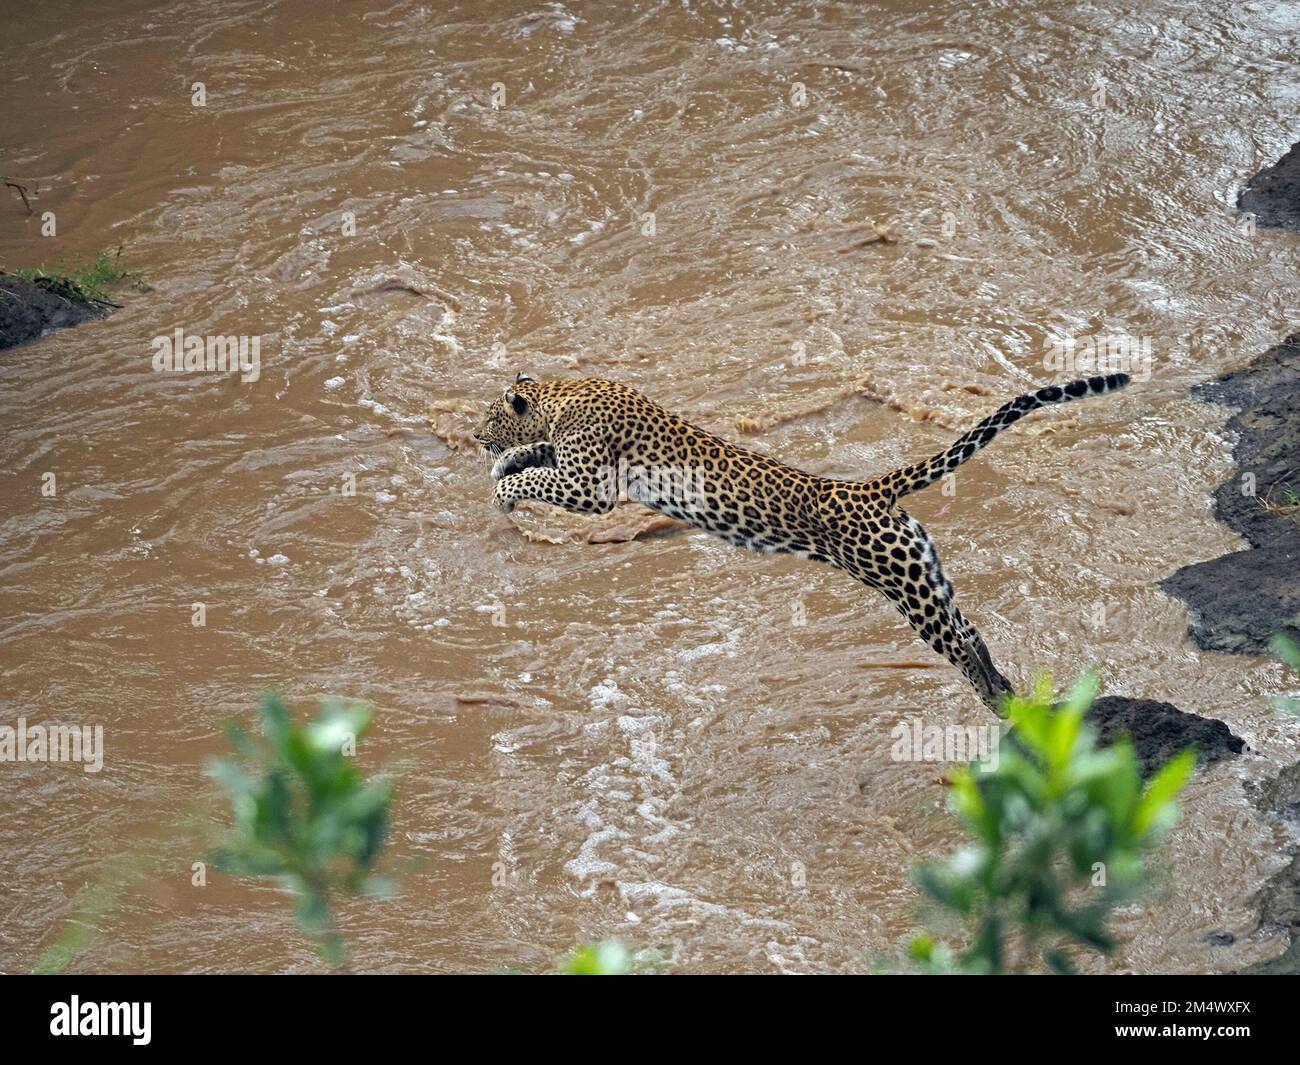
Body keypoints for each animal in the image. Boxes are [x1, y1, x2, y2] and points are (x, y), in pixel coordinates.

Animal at [475, 371, 1128, 712]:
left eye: (487, 415)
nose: (476, 437)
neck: (561, 394)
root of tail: (866, 488)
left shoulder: (590, 485)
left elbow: (537, 477)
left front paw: (503, 484)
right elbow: (534, 458)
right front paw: (507, 462)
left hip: (903, 586)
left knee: (959, 644)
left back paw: (995, 702)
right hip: (925, 573)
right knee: (971, 628)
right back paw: (1008, 696)